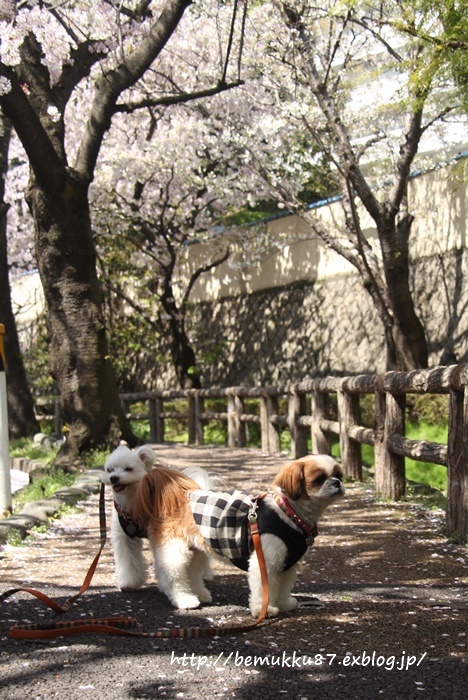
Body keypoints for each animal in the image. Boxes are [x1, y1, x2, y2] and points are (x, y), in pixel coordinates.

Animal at [132, 452, 344, 616]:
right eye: (318, 479)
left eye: (339, 475)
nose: (337, 483)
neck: (289, 514)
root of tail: (176, 497)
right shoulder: (265, 561)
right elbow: (264, 588)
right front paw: (263, 610)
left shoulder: (288, 564)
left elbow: (283, 587)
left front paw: (284, 604)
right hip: (175, 549)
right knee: (173, 575)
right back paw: (184, 599)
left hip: (196, 550)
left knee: (191, 572)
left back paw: (200, 594)